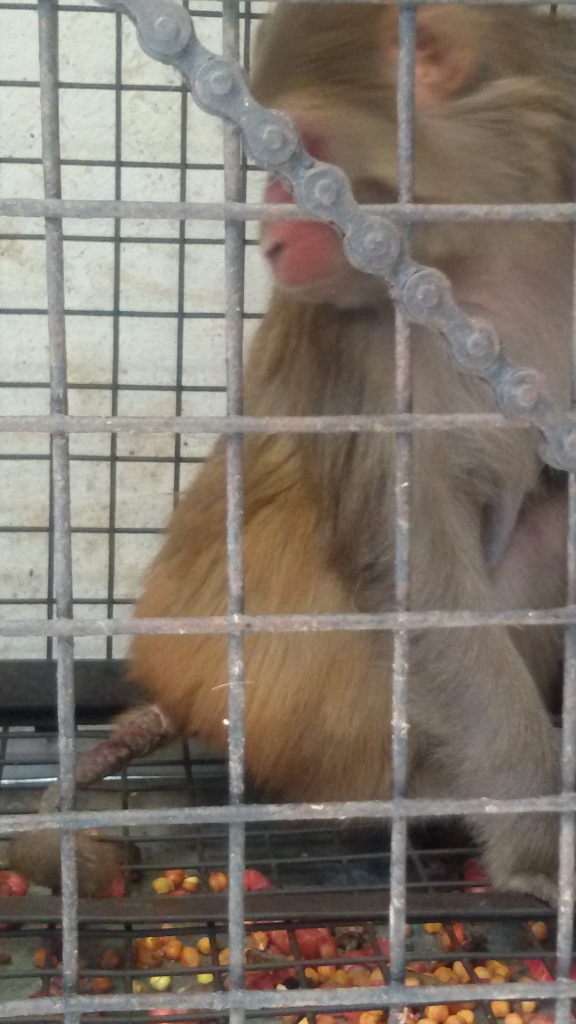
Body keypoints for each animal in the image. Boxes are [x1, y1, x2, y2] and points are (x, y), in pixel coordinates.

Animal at [9, 5, 576, 905]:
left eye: (299, 158)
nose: (271, 234)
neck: (486, 257)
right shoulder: (355, 341)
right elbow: (411, 569)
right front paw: (535, 837)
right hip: (260, 691)